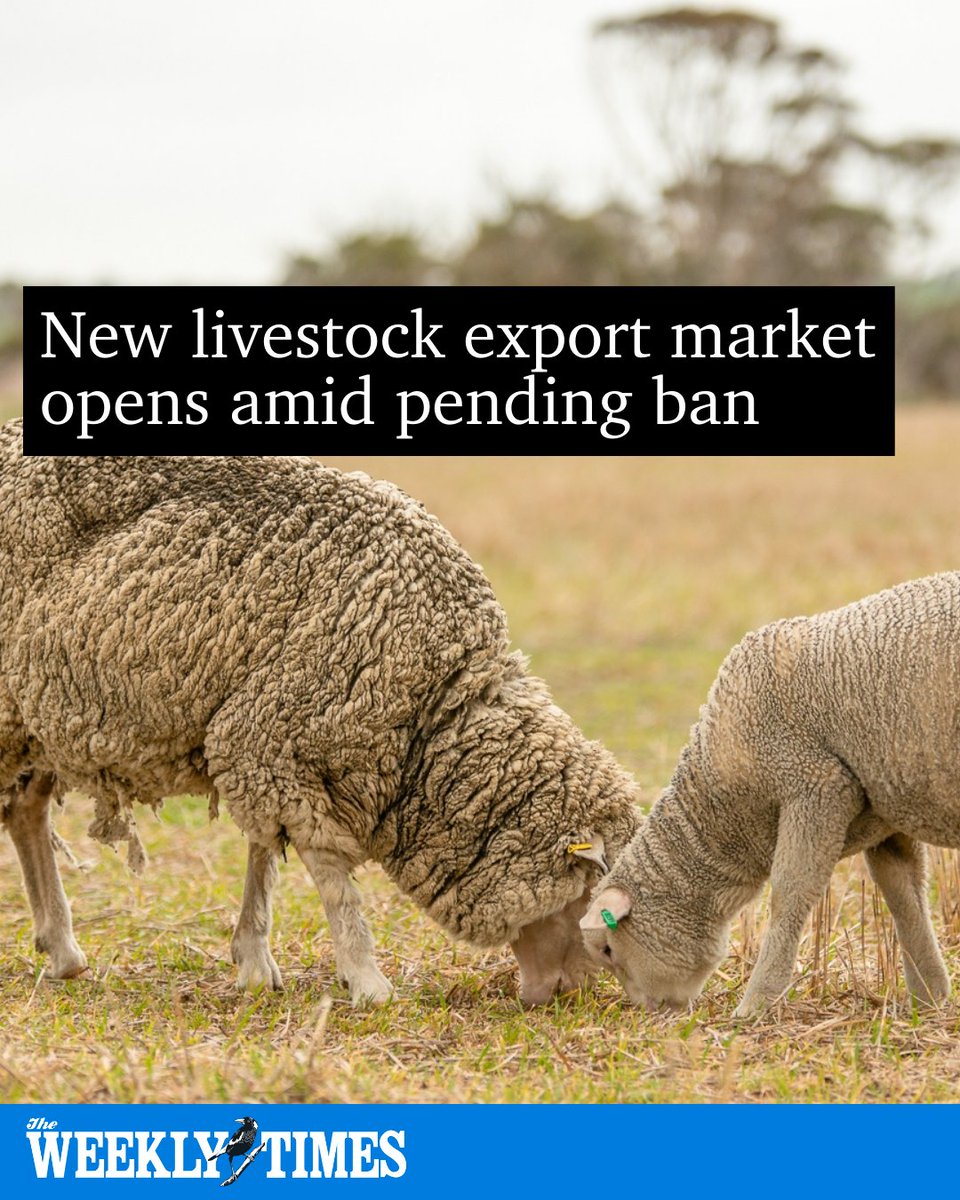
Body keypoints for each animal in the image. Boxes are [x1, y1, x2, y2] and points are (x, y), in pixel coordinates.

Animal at [0, 421, 640, 1004]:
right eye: (596, 911)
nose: (566, 996)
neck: (431, 710)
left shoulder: (261, 734)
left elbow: (264, 854)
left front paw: (254, 959)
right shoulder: (274, 736)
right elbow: (330, 875)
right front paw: (366, 979)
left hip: (35, 719)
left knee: (26, 807)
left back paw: (62, 950)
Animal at [582, 572, 960, 1017]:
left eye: (608, 950)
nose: (649, 1012)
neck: (725, 809)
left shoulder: (816, 785)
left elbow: (789, 894)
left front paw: (756, 1004)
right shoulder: (884, 808)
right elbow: (903, 892)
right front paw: (929, 997)